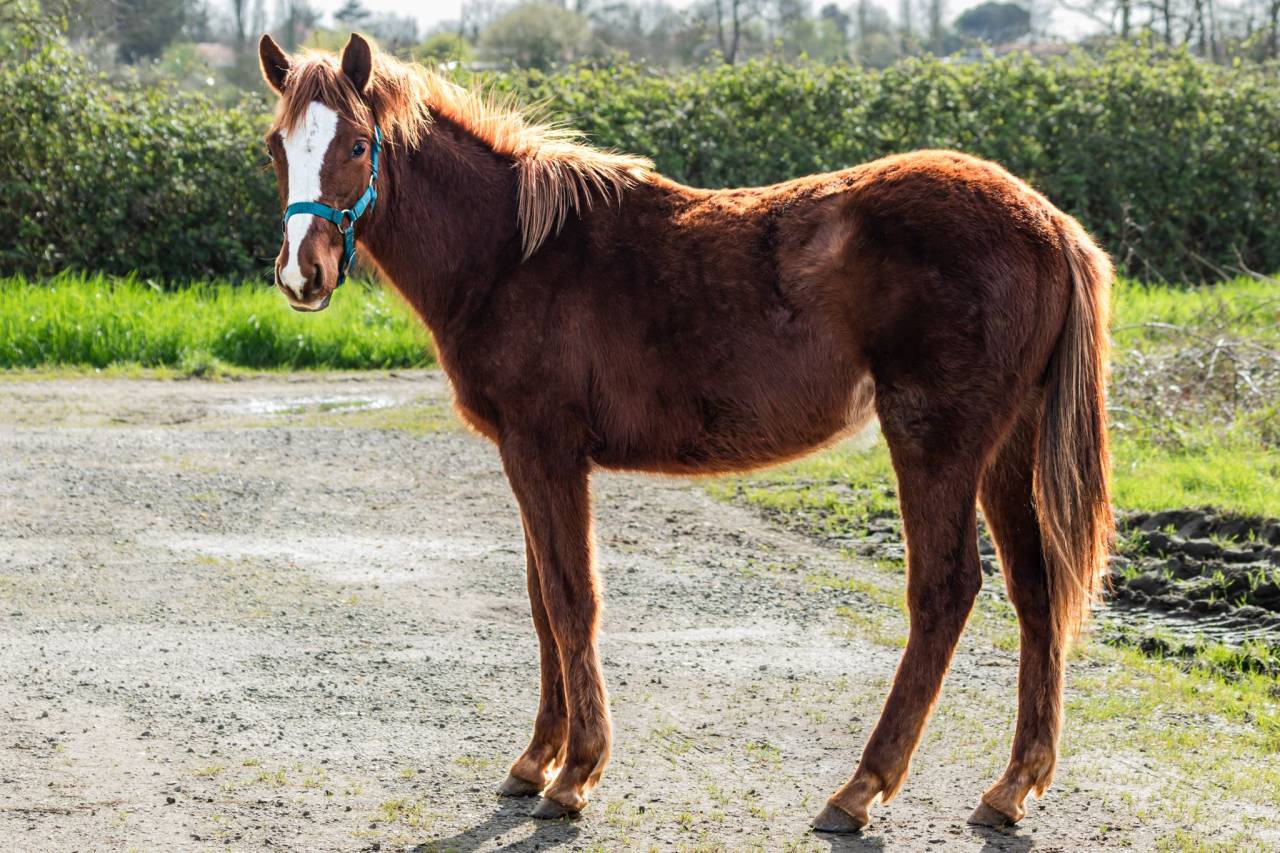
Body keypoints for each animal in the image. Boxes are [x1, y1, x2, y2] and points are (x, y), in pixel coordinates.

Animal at [257, 32, 1114, 833]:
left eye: (357, 144)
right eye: (276, 145)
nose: (303, 274)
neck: (512, 253)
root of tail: (1048, 222)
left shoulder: (547, 450)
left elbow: (571, 598)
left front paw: (576, 772)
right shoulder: (523, 454)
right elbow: (540, 600)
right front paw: (536, 760)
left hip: (935, 440)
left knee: (945, 590)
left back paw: (860, 787)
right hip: (1005, 449)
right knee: (1035, 591)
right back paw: (1011, 787)